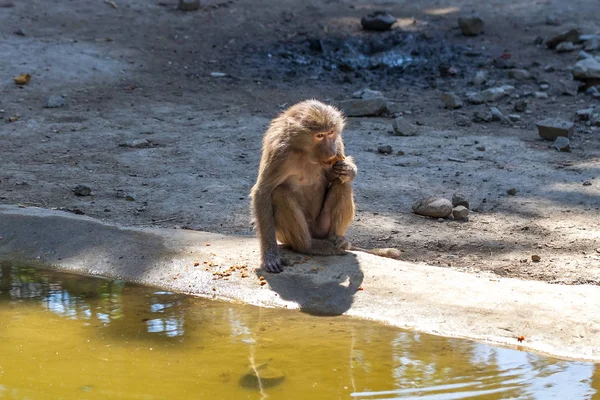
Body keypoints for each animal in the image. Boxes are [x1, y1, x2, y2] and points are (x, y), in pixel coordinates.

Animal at [251, 99, 358, 272]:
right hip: (285, 235)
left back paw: (339, 241)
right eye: (319, 136)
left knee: (343, 185)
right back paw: (309, 247)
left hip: (322, 228)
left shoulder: (338, 144)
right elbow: (263, 191)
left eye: (331, 132)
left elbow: (334, 176)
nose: (331, 151)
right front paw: (270, 257)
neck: (305, 151)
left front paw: (349, 170)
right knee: (280, 193)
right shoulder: (280, 154)